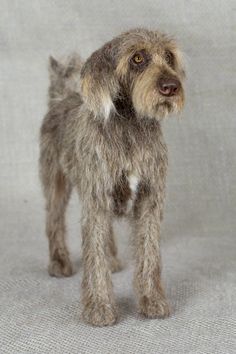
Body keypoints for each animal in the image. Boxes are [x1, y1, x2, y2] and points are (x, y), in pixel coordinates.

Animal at [39, 27, 185, 326]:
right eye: (138, 58)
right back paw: (59, 262)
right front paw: (99, 307)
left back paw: (113, 260)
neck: (131, 127)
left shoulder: (149, 200)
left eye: (168, 56)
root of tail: (60, 98)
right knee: (54, 221)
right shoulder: (95, 199)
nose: (170, 87)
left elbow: (149, 253)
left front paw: (152, 301)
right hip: (56, 184)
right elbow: (94, 256)